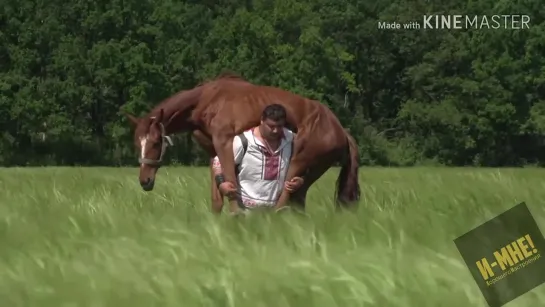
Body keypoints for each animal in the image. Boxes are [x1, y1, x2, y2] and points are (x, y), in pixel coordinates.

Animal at [124, 74, 362, 214]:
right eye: (137, 143)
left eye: (156, 142)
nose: (145, 181)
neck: (207, 100)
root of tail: (341, 130)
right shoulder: (213, 151)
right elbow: (218, 197)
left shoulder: (225, 142)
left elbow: (232, 190)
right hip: (310, 171)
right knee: (297, 200)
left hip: (299, 161)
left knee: (286, 198)